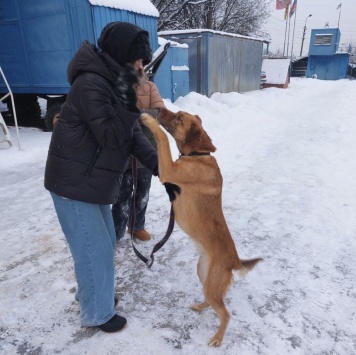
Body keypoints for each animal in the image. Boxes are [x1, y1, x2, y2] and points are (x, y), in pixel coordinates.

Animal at [141, 109, 262, 348]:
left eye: (179, 117)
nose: (158, 109)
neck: (198, 154)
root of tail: (235, 261)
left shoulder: (168, 169)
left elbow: (162, 136)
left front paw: (148, 121)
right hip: (203, 273)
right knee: (213, 301)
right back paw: (200, 306)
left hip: (211, 284)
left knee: (225, 314)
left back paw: (217, 338)